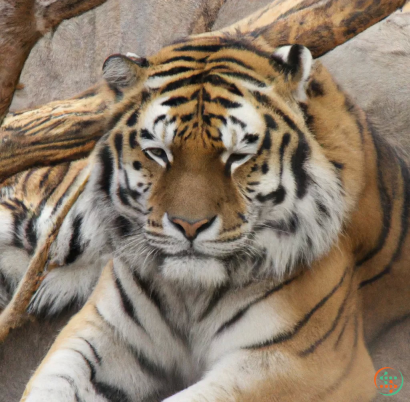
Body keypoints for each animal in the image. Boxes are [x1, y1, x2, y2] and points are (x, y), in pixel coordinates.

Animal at [0, 29, 402, 402]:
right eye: (158, 152)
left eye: (237, 156)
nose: (188, 226)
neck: (190, 295)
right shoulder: (104, 332)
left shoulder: (306, 360)